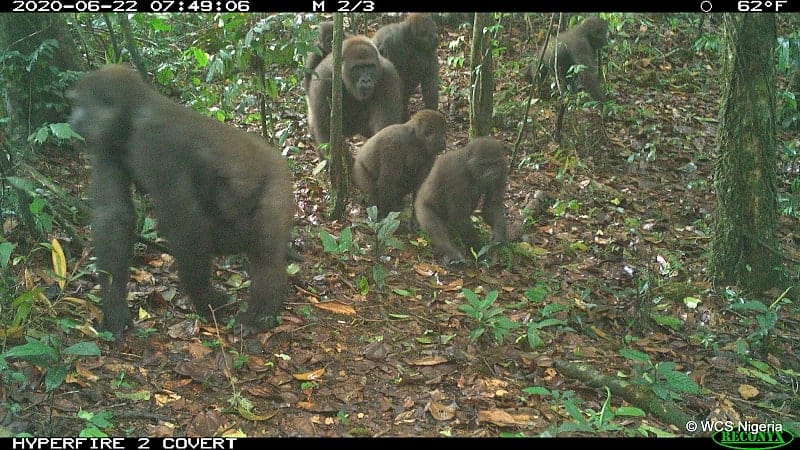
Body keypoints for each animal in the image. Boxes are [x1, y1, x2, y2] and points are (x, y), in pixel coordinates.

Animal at [68, 62, 294, 338]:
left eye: (80, 105)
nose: (70, 120)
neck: (131, 114)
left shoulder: (156, 141)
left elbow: (187, 226)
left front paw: (206, 300)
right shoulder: (107, 145)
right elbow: (113, 217)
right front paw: (115, 311)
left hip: (277, 182)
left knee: (264, 251)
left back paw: (260, 314)